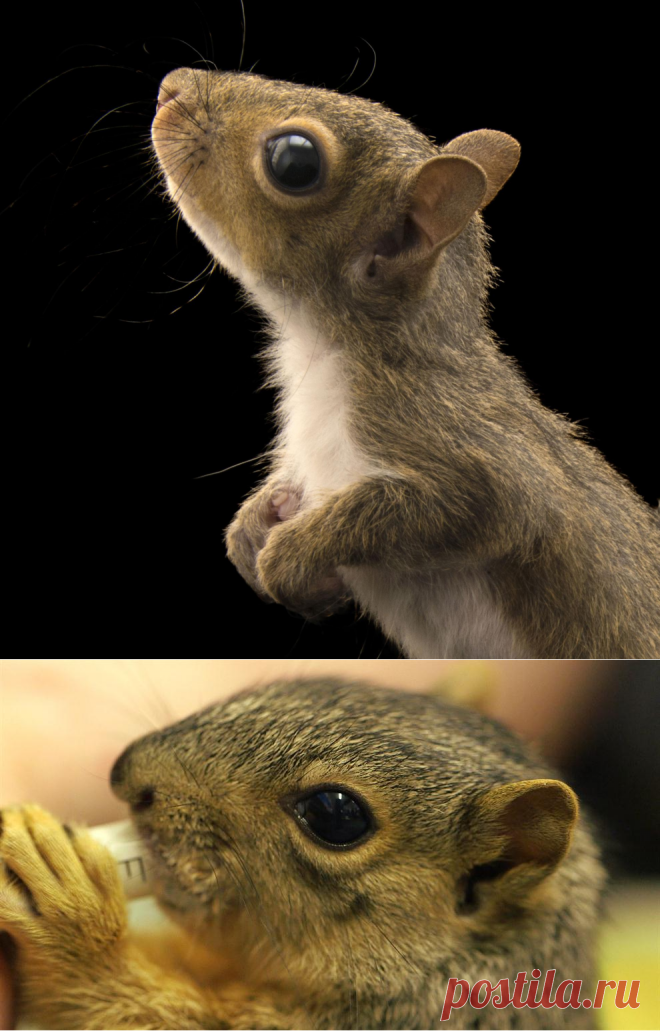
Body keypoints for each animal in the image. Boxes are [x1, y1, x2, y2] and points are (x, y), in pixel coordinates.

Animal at [149, 67, 660, 658]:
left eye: (295, 163)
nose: (172, 89)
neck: (327, 349)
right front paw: (252, 526)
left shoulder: (456, 442)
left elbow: (478, 508)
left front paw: (290, 555)